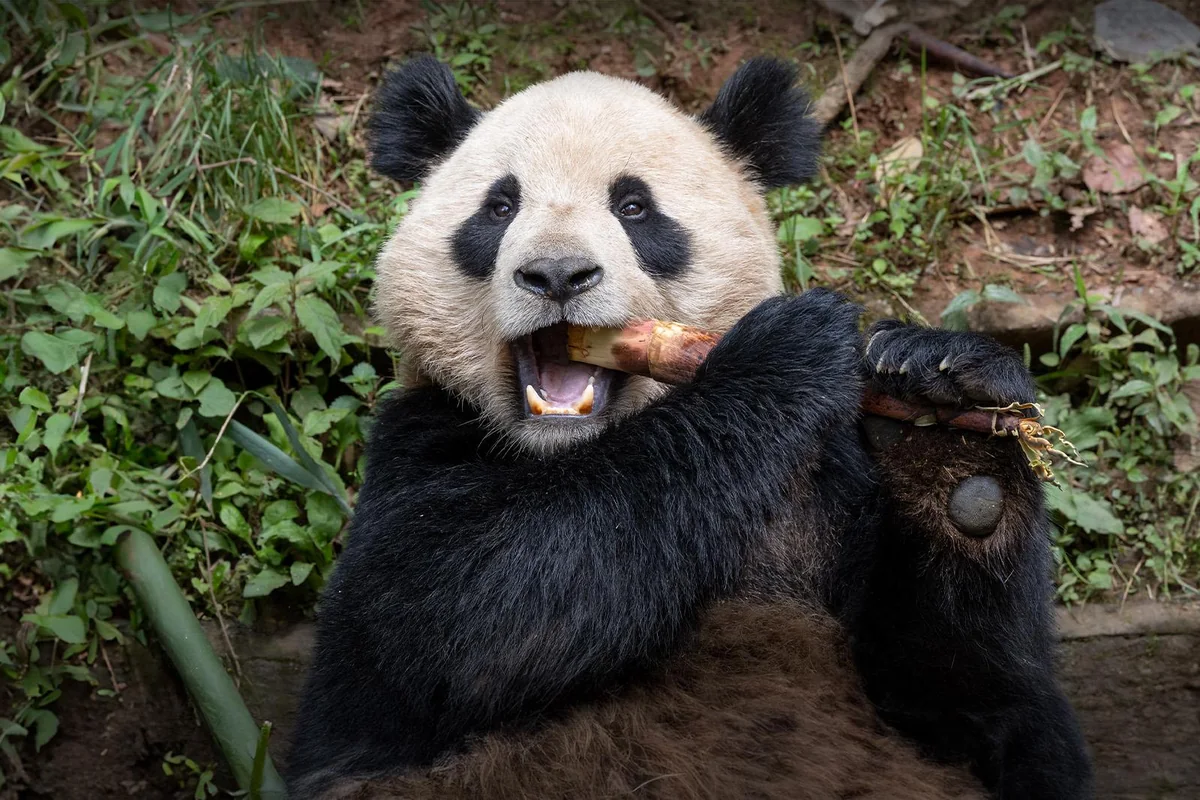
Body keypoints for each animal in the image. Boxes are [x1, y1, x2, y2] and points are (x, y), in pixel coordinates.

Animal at [285, 56, 1094, 799]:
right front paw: (784, 352)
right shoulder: (417, 444)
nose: (556, 276)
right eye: (499, 207)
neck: (569, 453)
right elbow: (467, 613)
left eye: (635, 208)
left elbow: (970, 700)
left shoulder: (829, 490)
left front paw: (945, 409)